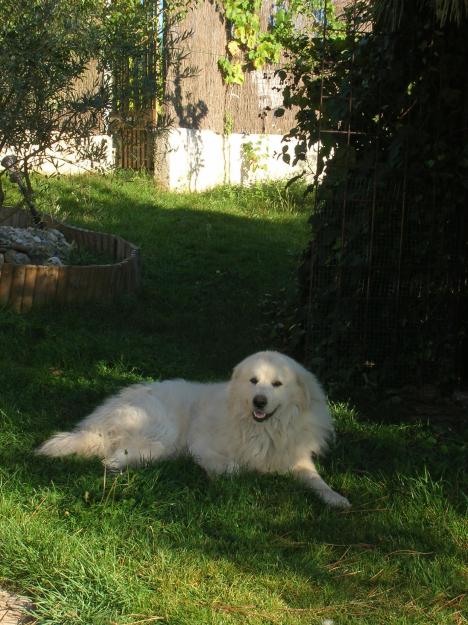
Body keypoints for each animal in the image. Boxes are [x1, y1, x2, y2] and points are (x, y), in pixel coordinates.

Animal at [36, 352, 350, 508]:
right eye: (254, 381)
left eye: (276, 385)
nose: (259, 401)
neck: (263, 428)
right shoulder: (202, 445)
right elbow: (234, 468)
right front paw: (219, 475)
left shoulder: (296, 459)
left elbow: (317, 481)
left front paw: (337, 499)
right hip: (163, 434)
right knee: (111, 457)